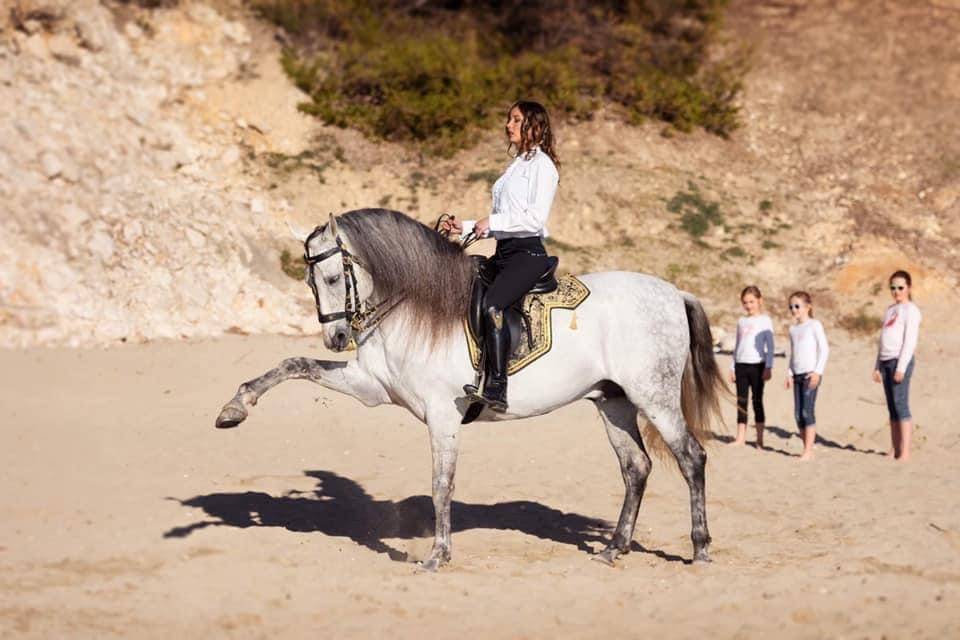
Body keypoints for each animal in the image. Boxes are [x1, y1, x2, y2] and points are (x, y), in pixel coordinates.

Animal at [215, 208, 725, 571]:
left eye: (335, 277)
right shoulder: (370, 388)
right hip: (613, 402)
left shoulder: (442, 413)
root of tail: (674, 292)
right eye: (309, 280)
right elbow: (293, 364)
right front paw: (235, 407)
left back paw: (700, 548)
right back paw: (614, 548)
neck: (412, 307)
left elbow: (442, 484)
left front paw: (437, 555)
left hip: (654, 398)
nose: (337, 338)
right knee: (636, 467)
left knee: (691, 458)